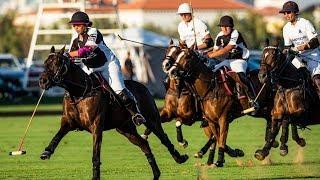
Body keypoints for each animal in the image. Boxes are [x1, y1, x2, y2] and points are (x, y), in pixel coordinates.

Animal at [38, 45, 189, 179]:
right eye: (45, 63)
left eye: (56, 63)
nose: (42, 81)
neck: (79, 92)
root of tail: (143, 86)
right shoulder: (68, 122)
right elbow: (58, 135)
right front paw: (46, 152)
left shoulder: (96, 127)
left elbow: (96, 156)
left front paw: (95, 177)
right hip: (125, 129)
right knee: (144, 144)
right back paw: (156, 174)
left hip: (151, 119)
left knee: (163, 138)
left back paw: (180, 158)